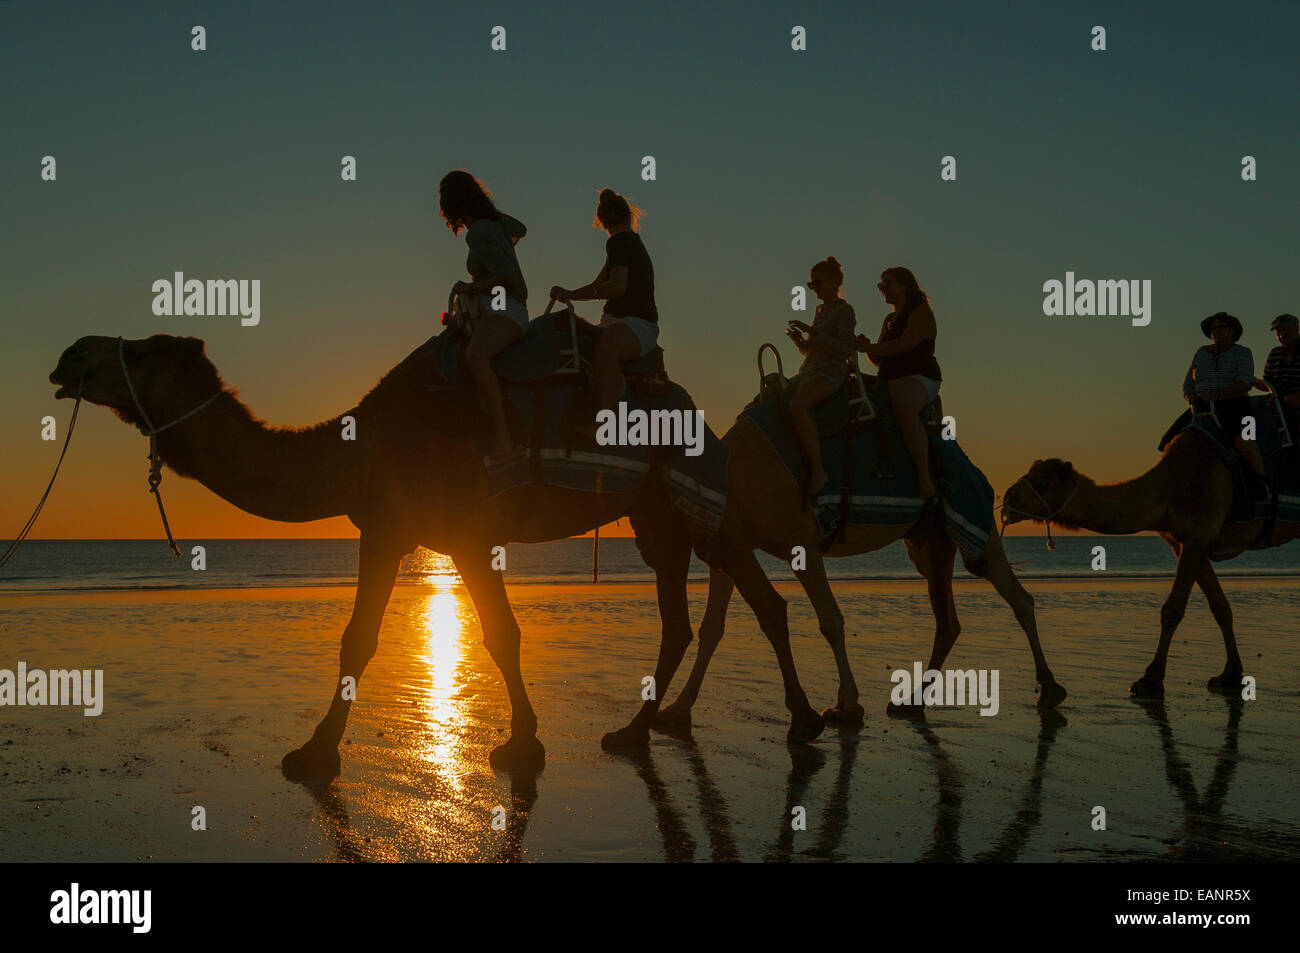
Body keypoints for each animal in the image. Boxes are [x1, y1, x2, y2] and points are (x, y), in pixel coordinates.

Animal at [50, 335, 826, 780]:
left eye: (138, 354)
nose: (68, 355)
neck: (356, 448)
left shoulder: (464, 531)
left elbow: (500, 634)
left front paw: (520, 746)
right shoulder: (388, 528)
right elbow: (358, 638)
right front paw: (316, 751)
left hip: (698, 498)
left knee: (766, 602)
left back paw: (805, 718)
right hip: (654, 514)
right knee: (678, 617)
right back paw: (631, 732)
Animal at [650, 413, 1066, 722]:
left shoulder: (800, 542)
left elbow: (830, 621)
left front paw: (847, 705)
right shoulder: (730, 544)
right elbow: (712, 628)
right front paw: (678, 708)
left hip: (974, 518)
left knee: (1017, 598)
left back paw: (1050, 689)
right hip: (929, 543)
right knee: (949, 620)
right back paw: (911, 700)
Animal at [998, 429, 1294, 691]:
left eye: (1042, 483)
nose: (1008, 497)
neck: (1165, 489)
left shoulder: (1197, 536)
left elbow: (1172, 610)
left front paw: (1149, 679)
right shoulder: (1186, 543)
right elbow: (1220, 607)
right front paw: (1230, 675)